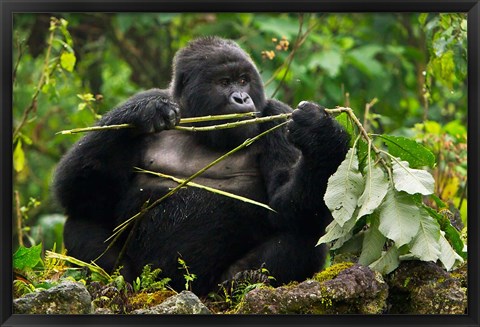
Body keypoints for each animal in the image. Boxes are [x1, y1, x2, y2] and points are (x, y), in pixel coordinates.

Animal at [54, 36, 348, 298]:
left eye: (244, 80)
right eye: (224, 82)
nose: (242, 98)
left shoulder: (275, 116)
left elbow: (286, 207)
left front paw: (321, 134)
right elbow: (83, 195)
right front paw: (144, 112)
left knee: (306, 233)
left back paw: (242, 279)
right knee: (80, 221)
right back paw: (117, 280)